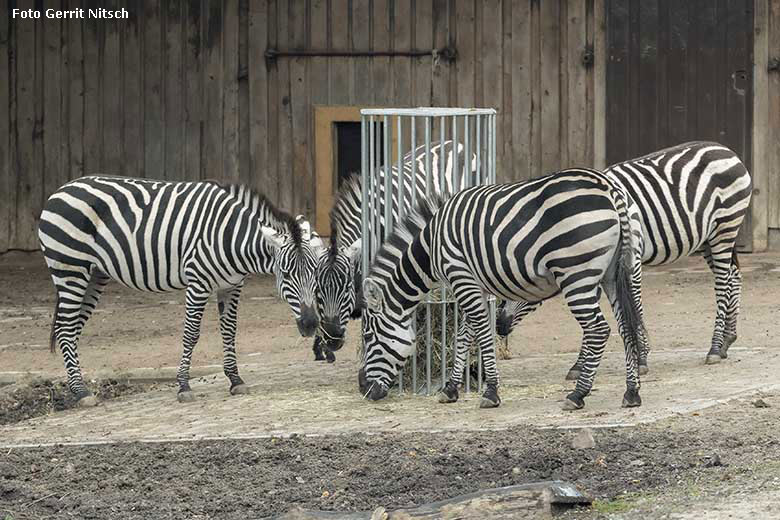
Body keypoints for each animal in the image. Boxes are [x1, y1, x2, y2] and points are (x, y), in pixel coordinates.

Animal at [39, 177, 322, 404]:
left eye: (316, 273)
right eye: (286, 274)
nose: (310, 325)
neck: (232, 235)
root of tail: (61, 189)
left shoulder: (232, 285)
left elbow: (230, 332)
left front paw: (235, 380)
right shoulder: (198, 282)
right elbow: (191, 334)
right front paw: (184, 386)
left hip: (94, 275)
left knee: (69, 329)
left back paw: (77, 389)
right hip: (71, 269)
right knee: (66, 329)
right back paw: (81, 393)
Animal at [358, 169, 644, 412]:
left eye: (369, 337)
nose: (363, 389)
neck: (431, 246)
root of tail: (610, 189)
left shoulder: (461, 276)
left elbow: (482, 332)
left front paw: (490, 392)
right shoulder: (475, 285)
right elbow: (464, 335)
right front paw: (451, 389)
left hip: (576, 273)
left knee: (599, 329)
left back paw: (577, 394)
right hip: (613, 274)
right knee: (625, 327)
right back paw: (631, 392)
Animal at [496, 141, 752, 378]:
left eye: (518, 284)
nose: (499, 326)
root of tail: (724, 149)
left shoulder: (628, 258)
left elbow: (634, 303)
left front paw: (641, 358)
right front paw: (579, 364)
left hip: (725, 227)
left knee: (723, 282)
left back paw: (715, 348)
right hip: (708, 238)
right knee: (734, 276)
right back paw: (728, 339)